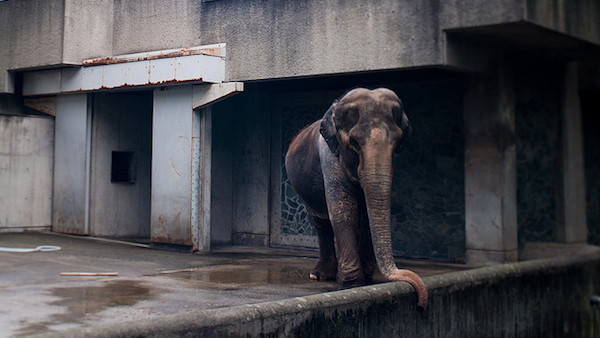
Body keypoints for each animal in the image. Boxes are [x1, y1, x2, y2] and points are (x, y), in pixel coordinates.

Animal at [284, 87, 426, 308]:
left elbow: (366, 213)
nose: (421, 303)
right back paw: (320, 275)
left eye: (398, 144)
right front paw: (352, 284)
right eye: (354, 142)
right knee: (321, 223)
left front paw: (366, 279)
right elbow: (343, 211)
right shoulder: (329, 156)